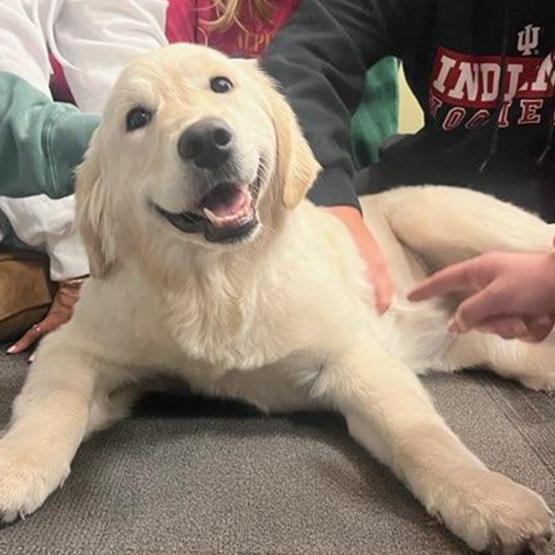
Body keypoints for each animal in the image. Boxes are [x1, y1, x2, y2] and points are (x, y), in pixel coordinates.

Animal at [1, 44, 555, 555]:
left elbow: (420, 436)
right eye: (136, 118)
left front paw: (489, 500)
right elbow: (54, 406)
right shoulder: (74, 348)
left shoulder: (354, 357)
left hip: (448, 220)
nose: (206, 140)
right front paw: (16, 468)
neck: (217, 279)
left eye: (221, 85)